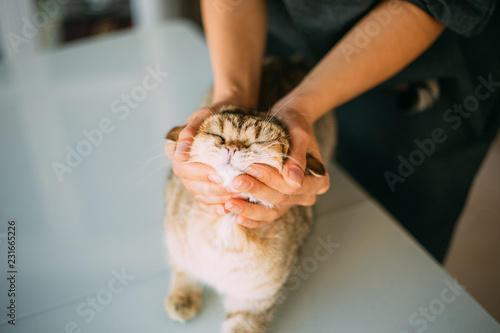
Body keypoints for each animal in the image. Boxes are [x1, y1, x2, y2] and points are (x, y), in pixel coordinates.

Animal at [165, 57, 336, 332]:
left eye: (259, 142)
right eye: (218, 136)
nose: (232, 147)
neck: (226, 227)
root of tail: (288, 60)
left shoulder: (254, 300)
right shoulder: (174, 237)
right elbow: (182, 266)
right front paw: (183, 294)